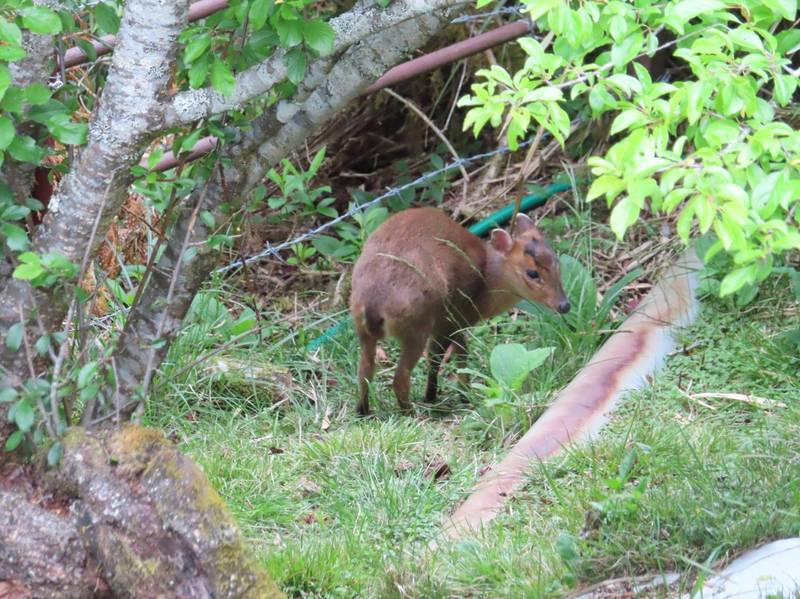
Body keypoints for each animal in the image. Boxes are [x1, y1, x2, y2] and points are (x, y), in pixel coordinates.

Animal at [350, 209, 568, 414]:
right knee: (400, 377)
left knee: (364, 370)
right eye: (532, 273)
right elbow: (458, 355)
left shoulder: (446, 324)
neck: (486, 282)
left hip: (363, 327)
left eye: (556, 261)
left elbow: (436, 358)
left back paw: (363, 410)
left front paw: (432, 396)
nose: (565, 305)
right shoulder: (456, 318)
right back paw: (411, 412)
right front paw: (463, 396)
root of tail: (373, 305)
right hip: (416, 326)